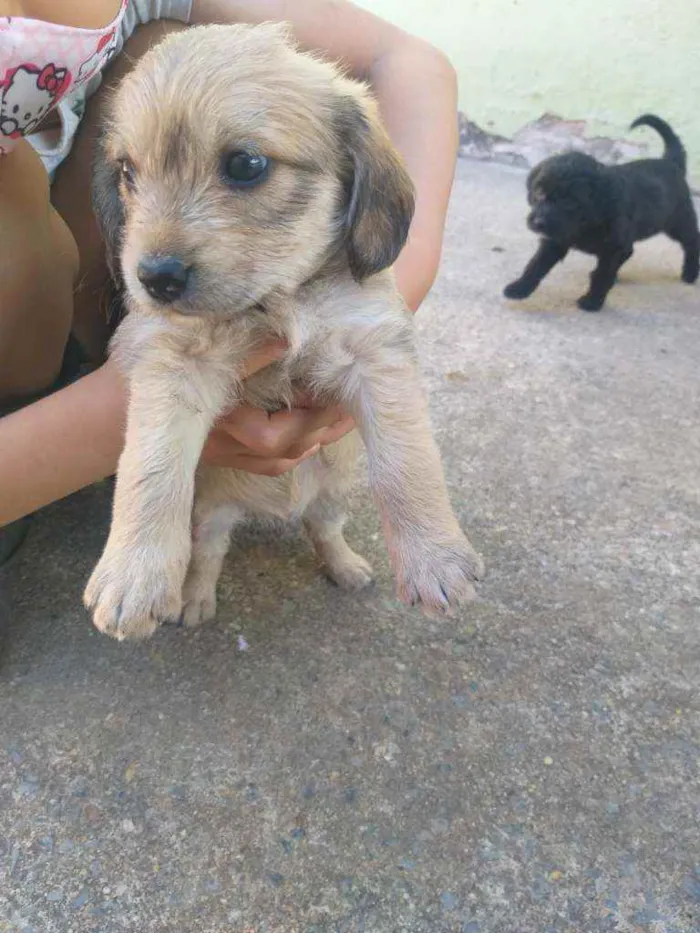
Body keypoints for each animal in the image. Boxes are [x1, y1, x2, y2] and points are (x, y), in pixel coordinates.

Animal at [85, 25, 484, 644]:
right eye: (128, 172)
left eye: (246, 164)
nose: (154, 279)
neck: (277, 300)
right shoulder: (173, 363)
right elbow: (150, 469)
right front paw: (133, 574)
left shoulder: (375, 354)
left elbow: (407, 462)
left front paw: (433, 557)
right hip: (211, 511)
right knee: (209, 553)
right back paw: (194, 598)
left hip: (334, 489)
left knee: (322, 529)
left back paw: (345, 565)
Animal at [506, 114, 696, 312]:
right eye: (539, 192)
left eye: (569, 201)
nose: (539, 223)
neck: (587, 221)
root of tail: (671, 162)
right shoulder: (555, 240)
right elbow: (535, 265)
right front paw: (519, 288)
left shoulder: (613, 247)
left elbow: (602, 275)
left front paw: (592, 301)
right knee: (630, 252)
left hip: (679, 222)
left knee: (692, 242)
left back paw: (690, 274)